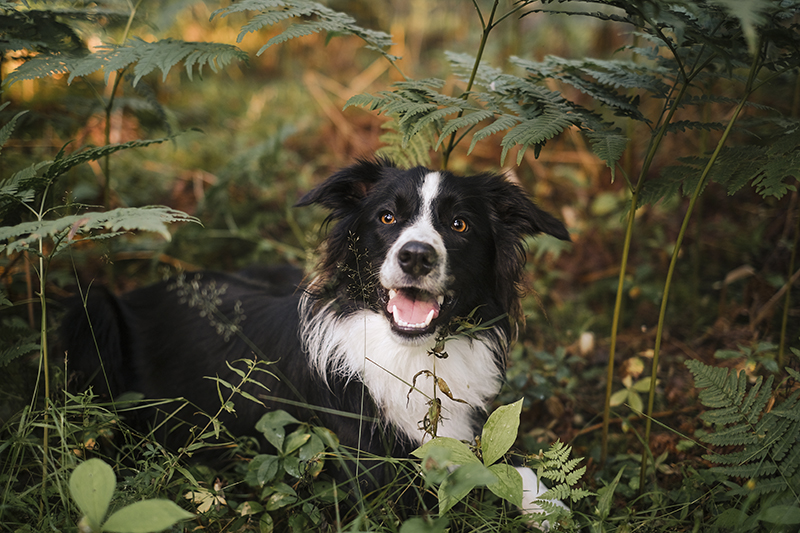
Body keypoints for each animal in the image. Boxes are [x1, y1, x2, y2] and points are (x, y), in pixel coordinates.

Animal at [64, 159, 568, 516]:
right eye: (387, 217)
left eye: (459, 224)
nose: (416, 256)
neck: (408, 354)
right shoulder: (378, 480)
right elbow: (471, 478)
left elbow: (501, 463)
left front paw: (548, 504)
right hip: (93, 311)